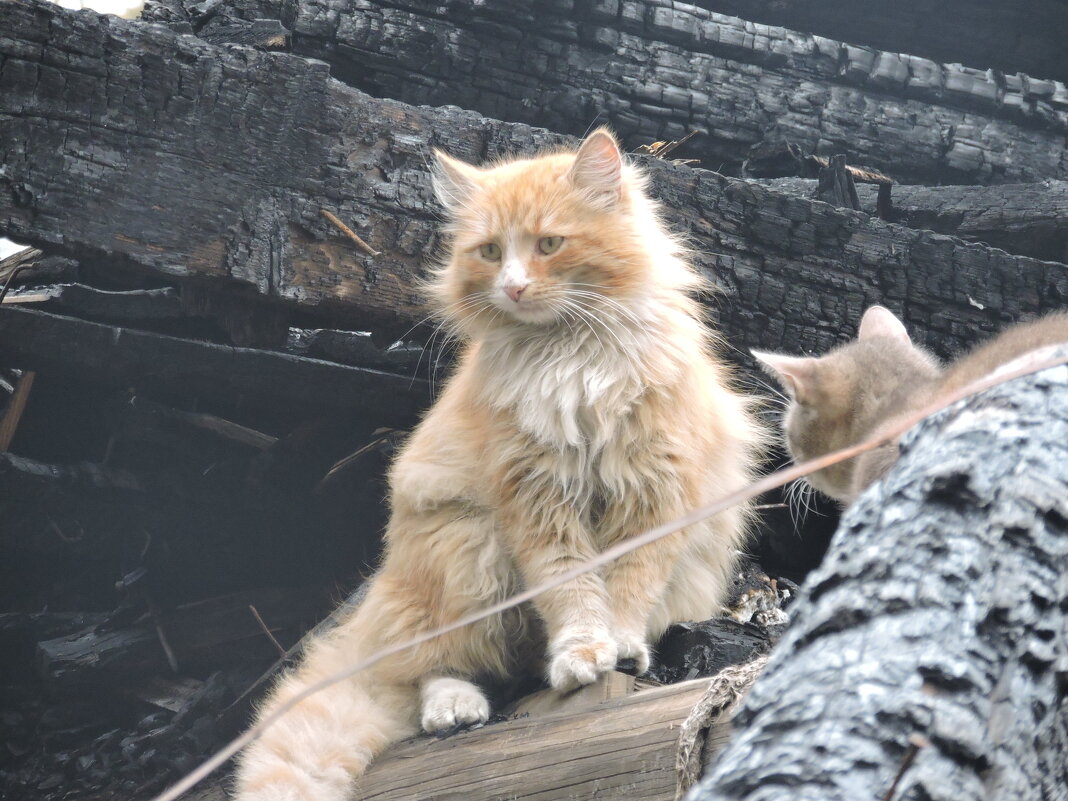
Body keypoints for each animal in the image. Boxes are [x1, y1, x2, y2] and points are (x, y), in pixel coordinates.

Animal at [236, 128, 768, 798]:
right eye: (490, 252)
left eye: (549, 244)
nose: (513, 286)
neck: (573, 358)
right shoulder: (536, 496)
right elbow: (571, 587)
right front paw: (582, 652)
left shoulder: (653, 489)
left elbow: (627, 583)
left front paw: (618, 645)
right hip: (466, 552)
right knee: (433, 669)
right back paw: (455, 707)